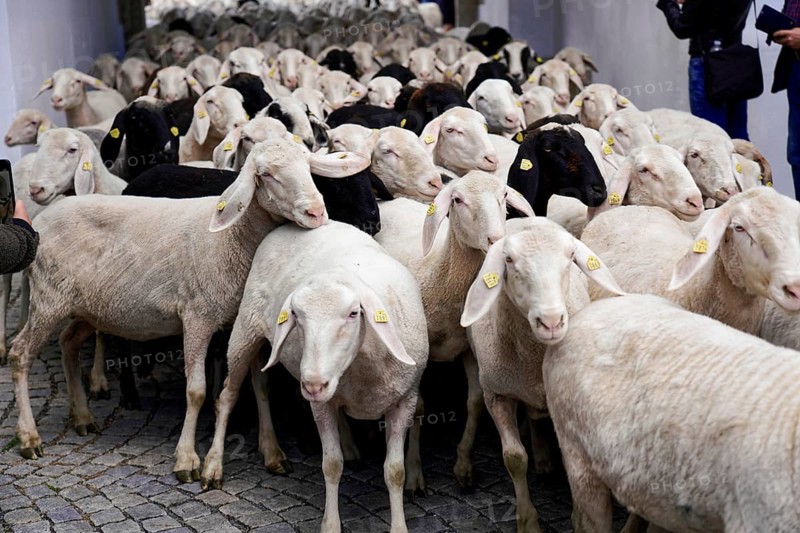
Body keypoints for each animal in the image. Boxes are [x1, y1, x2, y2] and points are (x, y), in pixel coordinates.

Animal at [8, 137, 371, 474]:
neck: (233, 239)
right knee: (20, 354)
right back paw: (29, 437)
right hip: (49, 298)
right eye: (266, 174)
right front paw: (187, 459)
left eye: (309, 168)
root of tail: (41, 220)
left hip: (87, 306)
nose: (316, 213)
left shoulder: (241, 322)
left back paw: (82, 416)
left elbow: (260, 387)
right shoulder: (197, 317)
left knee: (68, 341)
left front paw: (272, 452)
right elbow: (196, 391)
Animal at [199, 221, 428, 533]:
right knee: (227, 397)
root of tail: (286, 225)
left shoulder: (404, 400)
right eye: (296, 315)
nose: (312, 384)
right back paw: (213, 466)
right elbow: (331, 465)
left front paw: (399, 525)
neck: (362, 370)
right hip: (245, 330)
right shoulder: (321, 405)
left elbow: (395, 471)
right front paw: (330, 524)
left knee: (261, 386)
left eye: (354, 313)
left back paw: (273, 451)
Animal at [460, 217, 624, 532]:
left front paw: (578, 518)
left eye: (571, 257)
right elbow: (514, 458)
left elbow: (570, 460)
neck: (533, 359)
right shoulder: (497, 395)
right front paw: (528, 520)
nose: (550, 322)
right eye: (508, 260)